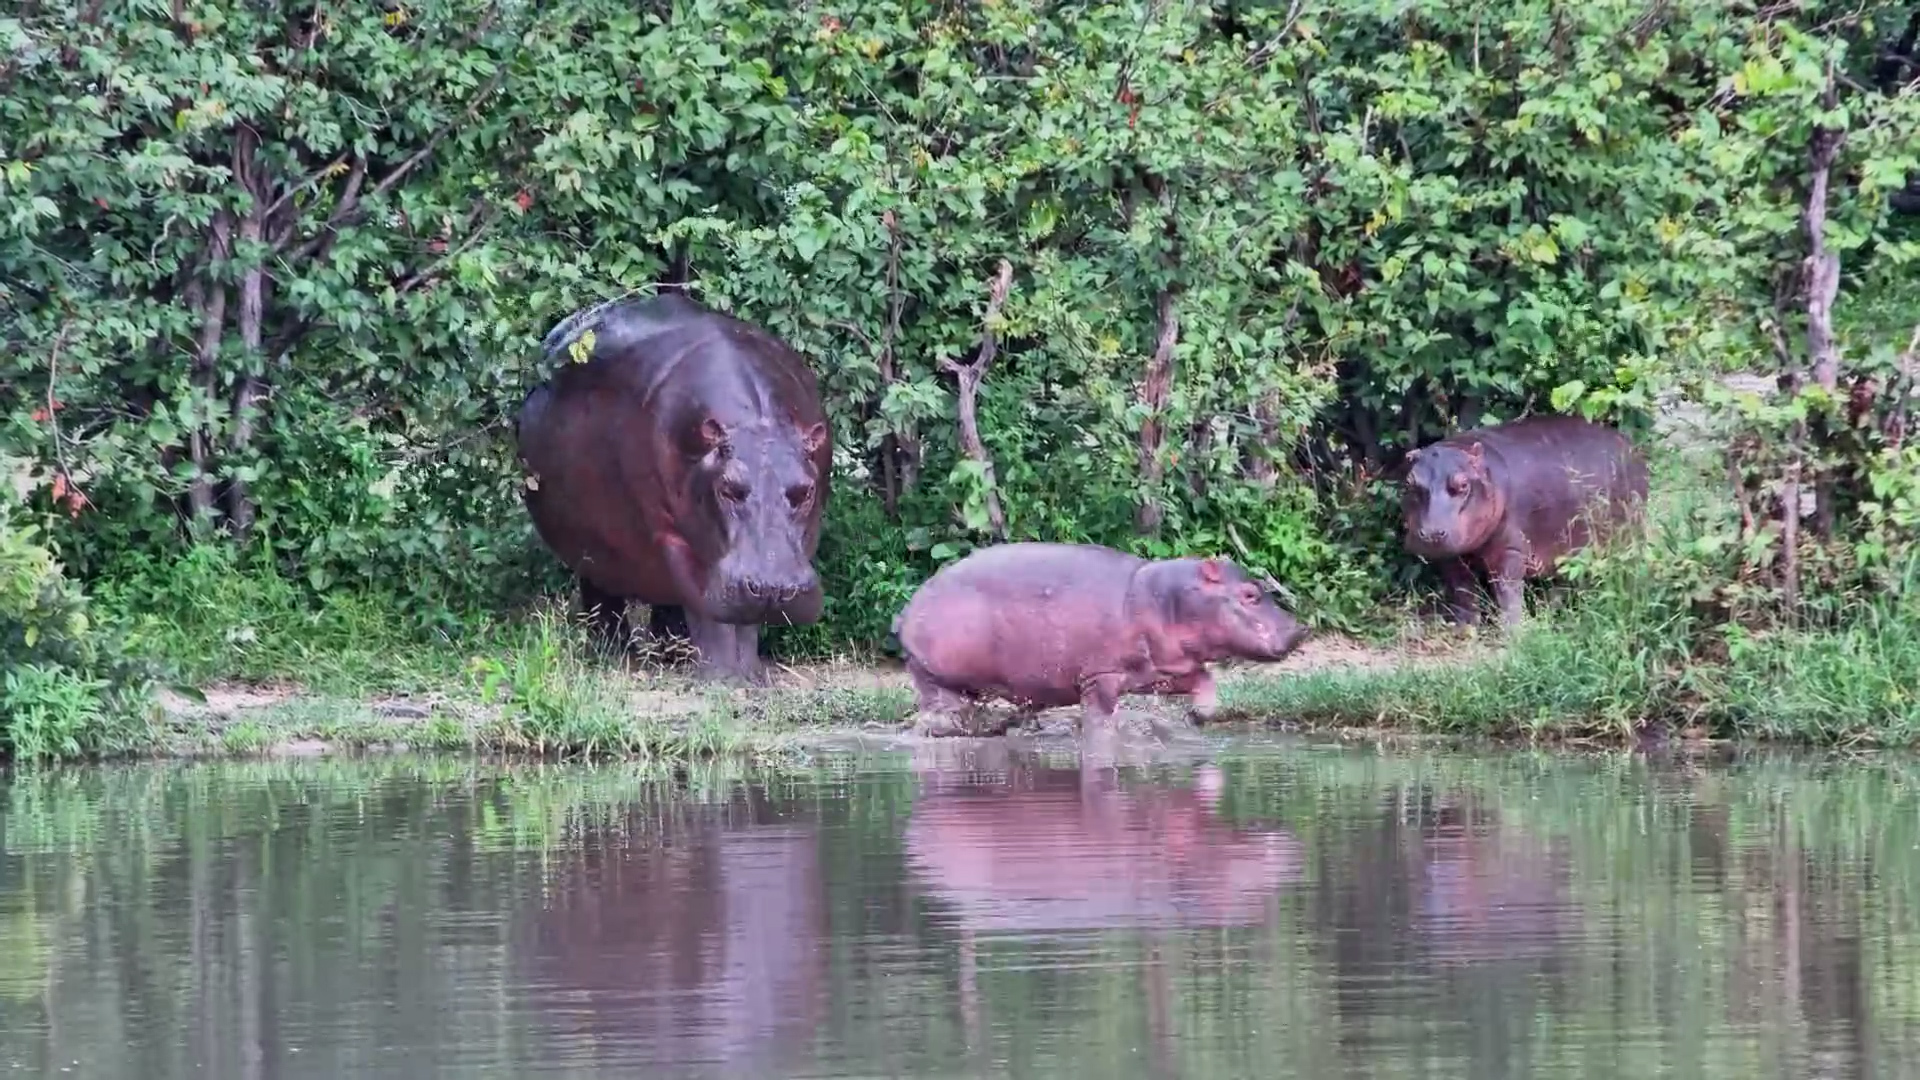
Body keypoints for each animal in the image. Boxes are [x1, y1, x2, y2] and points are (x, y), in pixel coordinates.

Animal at [515, 294, 832, 683]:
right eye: (728, 488)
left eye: (805, 491)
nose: (777, 588)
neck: (756, 424)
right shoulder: (672, 537)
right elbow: (710, 614)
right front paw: (722, 678)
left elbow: (741, 617)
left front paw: (750, 676)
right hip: (589, 545)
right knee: (602, 593)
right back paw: (615, 653)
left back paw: (673, 653)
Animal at [891, 542, 1310, 736]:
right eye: (1250, 595)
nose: (1299, 629)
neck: (1168, 598)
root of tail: (907, 610)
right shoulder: (1101, 677)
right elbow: (1100, 724)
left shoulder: (1166, 669)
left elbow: (1206, 680)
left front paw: (1196, 716)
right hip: (935, 676)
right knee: (937, 716)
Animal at [1398, 414, 1649, 628]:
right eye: (1409, 482)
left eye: (1463, 484)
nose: (1431, 533)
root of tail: (1631, 446)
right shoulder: (1453, 555)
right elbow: (1462, 591)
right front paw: (1464, 629)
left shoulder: (1510, 551)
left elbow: (1508, 594)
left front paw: (1513, 634)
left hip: (1629, 536)